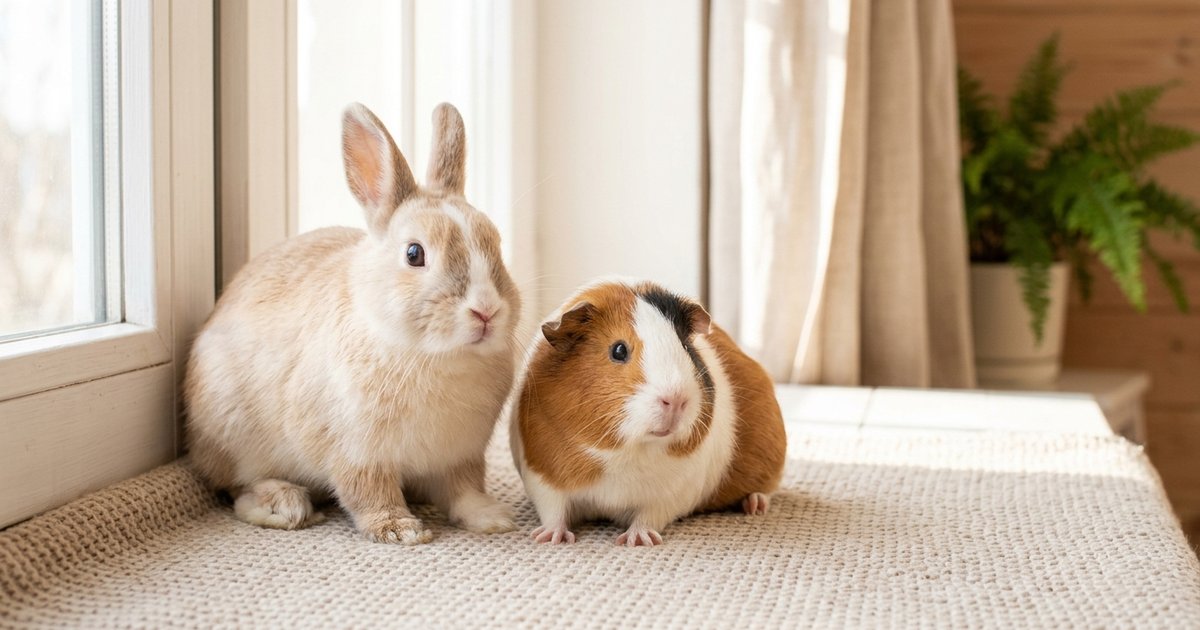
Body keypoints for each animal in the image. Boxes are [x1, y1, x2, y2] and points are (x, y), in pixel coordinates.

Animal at [184, 102, 521, 544]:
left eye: (496, 243)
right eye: (414, 254)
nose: (486, 311)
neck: (435, 356)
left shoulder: (460, 455)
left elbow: (464, 490)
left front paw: (492, 519)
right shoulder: (356, 452)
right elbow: (367, 493)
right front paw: (399, 531)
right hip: (232, 433)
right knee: (234, 486)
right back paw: (282, 505)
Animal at [510, 279, 786, 546]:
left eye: (685, 346)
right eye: (618, 350)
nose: (676, 400)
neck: (625, 451)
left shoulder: (671, 494)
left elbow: (648, 517)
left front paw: (637, 541)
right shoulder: (542, 479)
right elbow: (554, 512)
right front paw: (549, 539)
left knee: (767, 489)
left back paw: (755, 506)